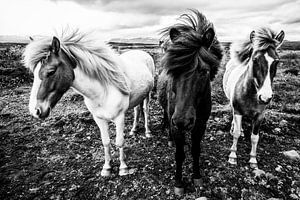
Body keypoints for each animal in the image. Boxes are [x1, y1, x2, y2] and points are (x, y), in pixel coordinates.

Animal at [23, 30, 155, 177]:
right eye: (34, 74)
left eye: (51, 71)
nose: (35, 111)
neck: (103, 91)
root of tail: (141, 53)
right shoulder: (99, 119)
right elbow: (106, 142)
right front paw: (107, 168)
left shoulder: (119, 117)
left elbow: (119, 142)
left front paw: (123, 168)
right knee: (137, 110)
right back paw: (133, 130)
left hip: (148, 94)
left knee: (145, 110)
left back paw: (147, 132)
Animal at [157, 9, 223, 195]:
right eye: (173, 70)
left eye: (204, 71)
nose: (183, 121)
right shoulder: (176, 124)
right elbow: (179, 154)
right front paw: (179, 183)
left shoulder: (201, 124)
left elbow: (195, 150)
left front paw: (196, 176)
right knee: (167, 119)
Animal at [224, 27, 284, 169]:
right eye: (255, 59)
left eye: (277, 61)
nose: (265, 97)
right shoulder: (238, 111)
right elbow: (236, 134)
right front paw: (232, 156)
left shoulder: (260, 116)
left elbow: (255, 137)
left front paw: (253, 160)